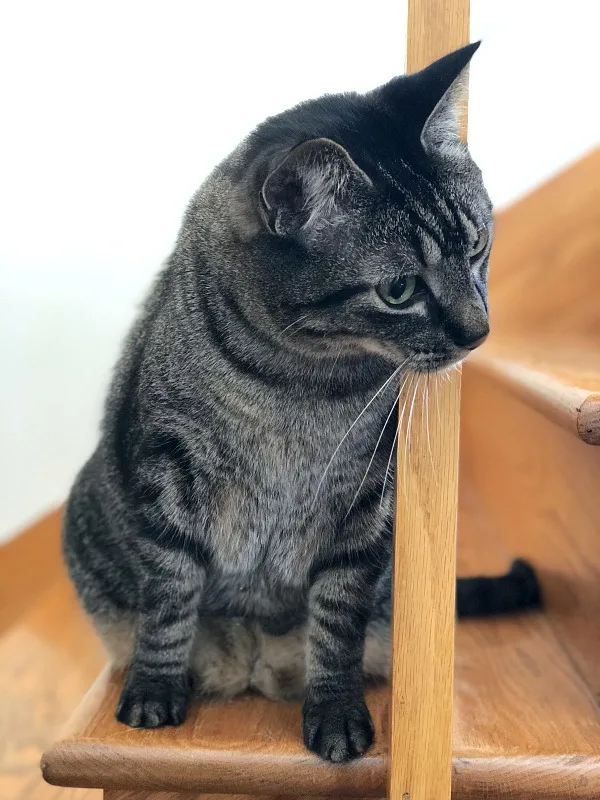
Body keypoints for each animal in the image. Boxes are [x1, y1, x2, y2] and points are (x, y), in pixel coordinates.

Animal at [63, 42, 540, 764]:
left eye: (479, 246)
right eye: (398, 290)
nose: (478, 331)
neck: (300, 385)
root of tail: (256, 662)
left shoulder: (368, 502)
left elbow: (336, 623)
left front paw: (336, 712)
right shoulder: (163, 466)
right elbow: (169, 598)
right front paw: (154, 690)